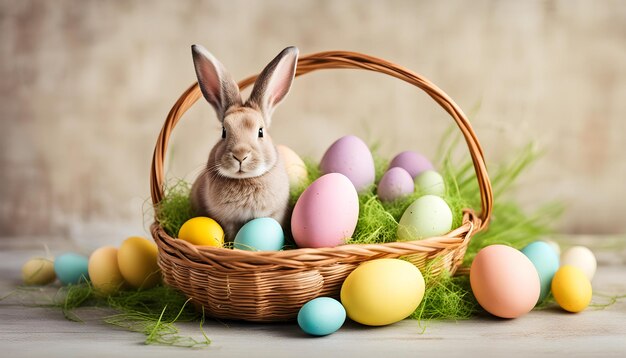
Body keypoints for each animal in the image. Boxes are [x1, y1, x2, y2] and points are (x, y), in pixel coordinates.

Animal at [188, 44, 298, 241]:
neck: (245, 180)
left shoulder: (274, 215)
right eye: (224, 132)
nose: (240, 155)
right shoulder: (228, 222)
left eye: (260, 131)